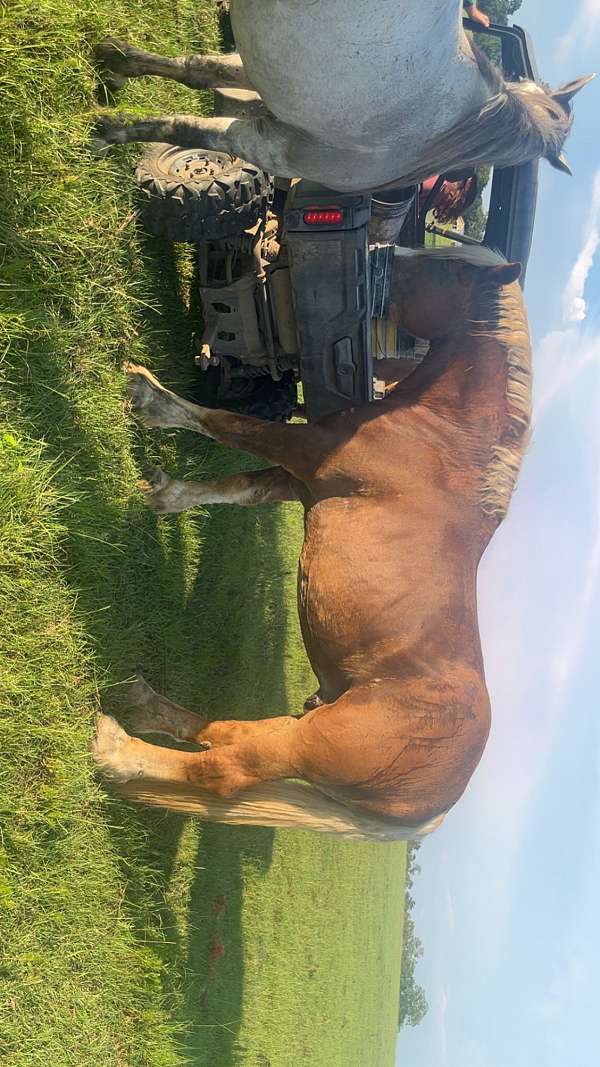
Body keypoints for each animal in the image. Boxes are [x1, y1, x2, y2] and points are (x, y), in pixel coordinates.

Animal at [92, 1, 594, 190]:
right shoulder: (270, 144)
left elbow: (198, 74)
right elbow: (190, 129)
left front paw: (117, 66)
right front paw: (112, 128)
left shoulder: (265, 107)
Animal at [92, 244, 532, 842]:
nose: (385, 254)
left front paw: (146, 396)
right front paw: (165, 495)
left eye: (446, 268)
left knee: (224, 770)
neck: (440, 439)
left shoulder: (302, 452)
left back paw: (117, 751)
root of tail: (433, 811)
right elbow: (239, 487)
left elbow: (225, 424)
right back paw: (143, 706)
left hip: (306, 745)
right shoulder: (297, 482)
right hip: (303, 727)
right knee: (228, 732)